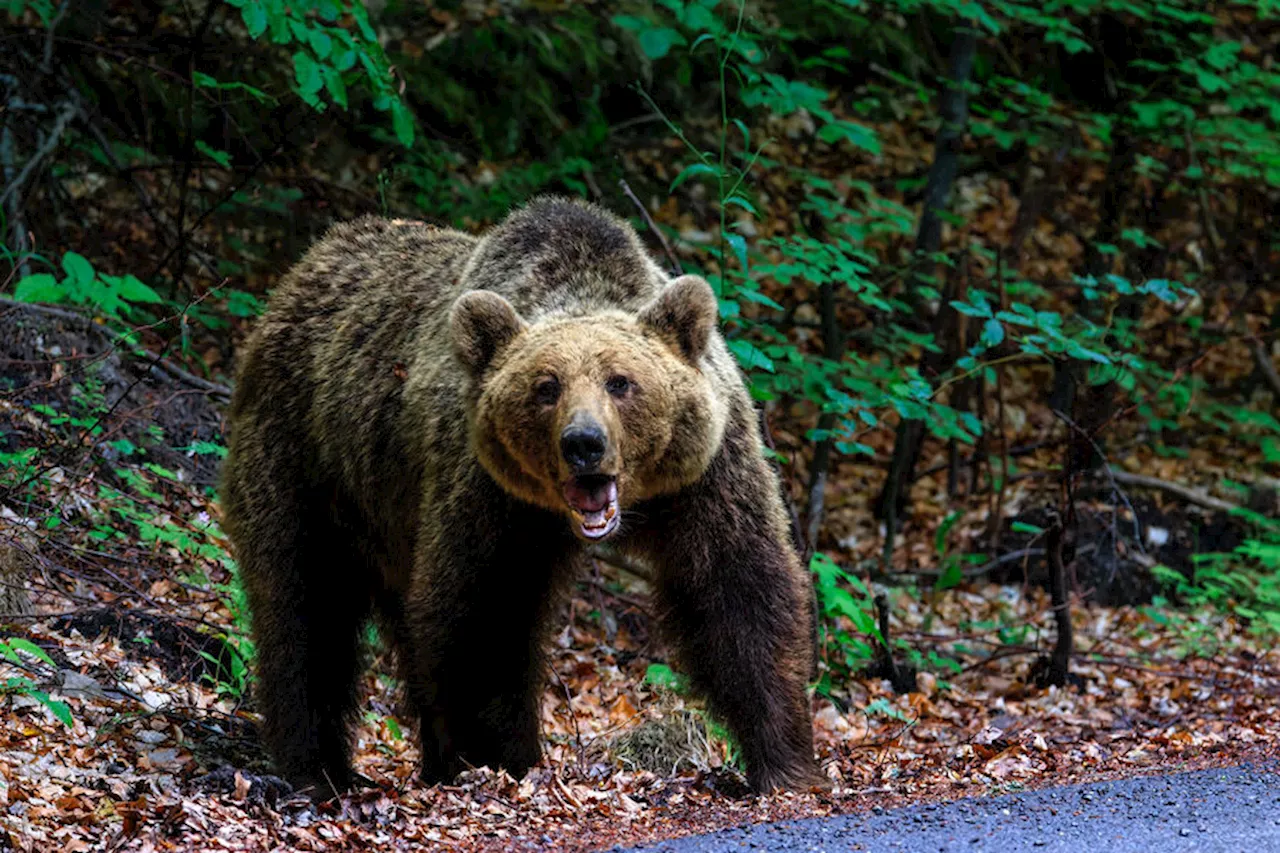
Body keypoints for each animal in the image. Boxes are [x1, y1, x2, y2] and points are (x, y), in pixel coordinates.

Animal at [218, 195, 819, 794]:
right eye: (546, 386)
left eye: (621, 382)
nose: (584, 443)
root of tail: (303, 270)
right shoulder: (490, 495)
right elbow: (486, 614)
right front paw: (502, 758)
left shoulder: (704, 476)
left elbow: (739, 589)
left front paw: (785, 761)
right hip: (306, 462)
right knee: (305, 606)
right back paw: (318, 766)